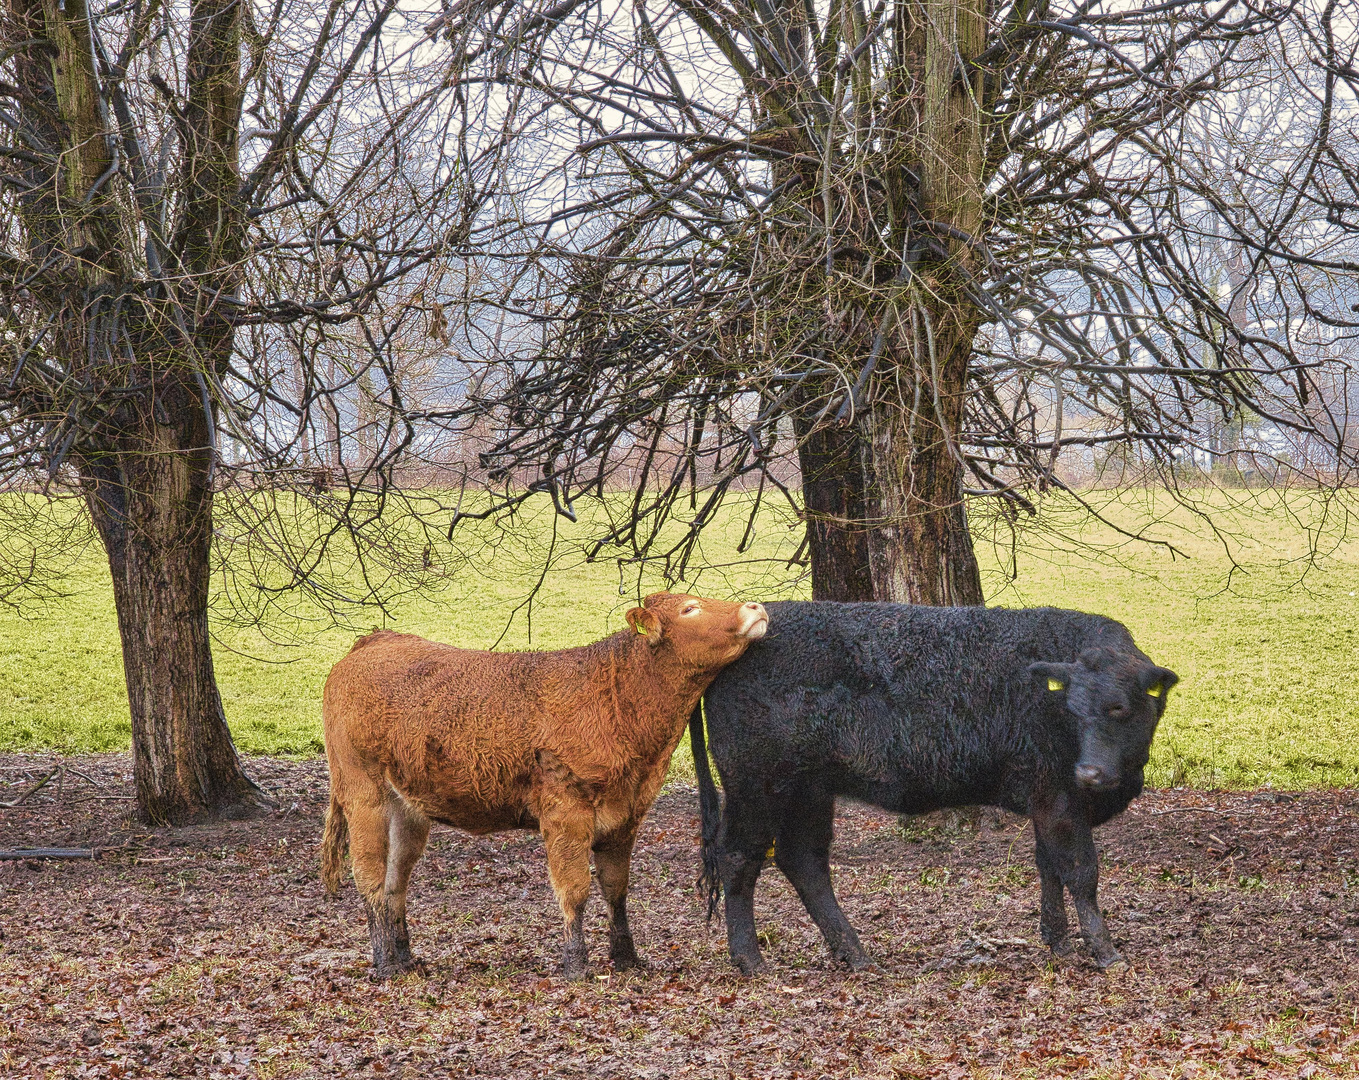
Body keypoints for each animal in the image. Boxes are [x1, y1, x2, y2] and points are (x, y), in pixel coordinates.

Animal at [318, 592, 766, 978]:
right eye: (690, 608)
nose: (756, 607)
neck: (618, 700)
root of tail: (374, 641)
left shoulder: (626, 815)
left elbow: (616, 888)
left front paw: (626, 958)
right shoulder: (566, 810)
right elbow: (575, 890)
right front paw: (577, 964)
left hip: (407, 807)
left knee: (396, 881)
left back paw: (405, 957)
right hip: (363, 793)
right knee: (370, 876)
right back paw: (385, 963)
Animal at [695, 603, 1174, 978]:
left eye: (1119, 708)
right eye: (1072, 709)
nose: (1090, 773)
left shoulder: (1046, 803)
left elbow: (1049, 868)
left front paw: (1058, 942)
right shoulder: (1060, 799)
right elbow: (1081, 871)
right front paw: (1105, 951)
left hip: (808, 791)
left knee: (804, 862)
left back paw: (856, 955)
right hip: (756, 786)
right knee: (739, 858)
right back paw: (750, 959)